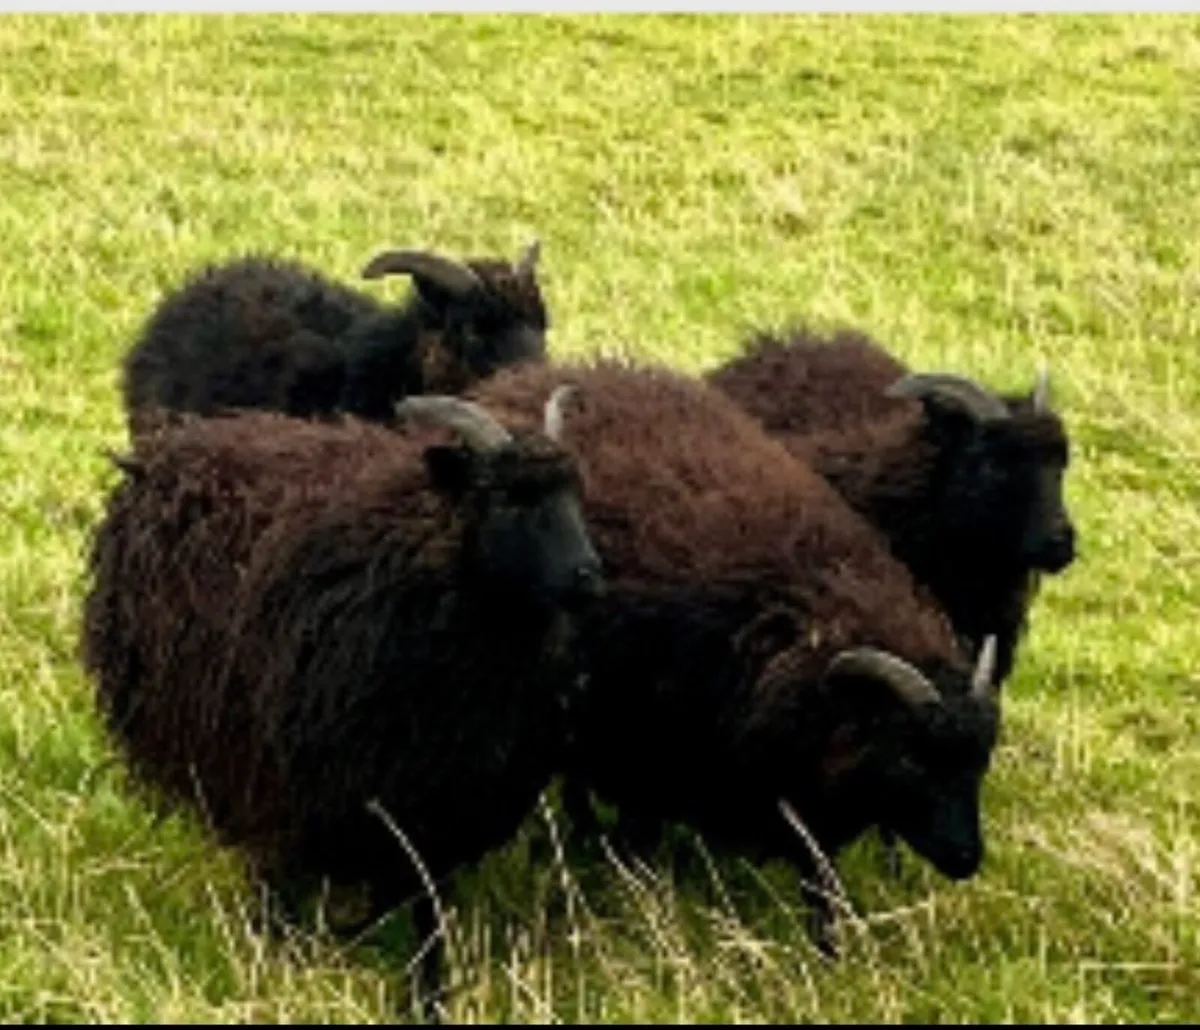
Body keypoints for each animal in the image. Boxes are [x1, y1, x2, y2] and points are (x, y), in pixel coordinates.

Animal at [80, 387, 603, 1013]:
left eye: (574, 494)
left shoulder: (445, 797)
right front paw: (275, 962)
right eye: (504, 496)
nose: (590, 576)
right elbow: (282, 879)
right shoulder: (291, 783)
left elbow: (429, 907)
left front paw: (428, 995)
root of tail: (183, 437)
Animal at [466, 360, 1004, 954]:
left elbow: (820, 877)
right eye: (912, 758)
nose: (966, 858)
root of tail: (522, 376)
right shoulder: (646, 750)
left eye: (980, 759)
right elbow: (639, 840)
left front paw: (830, 953)